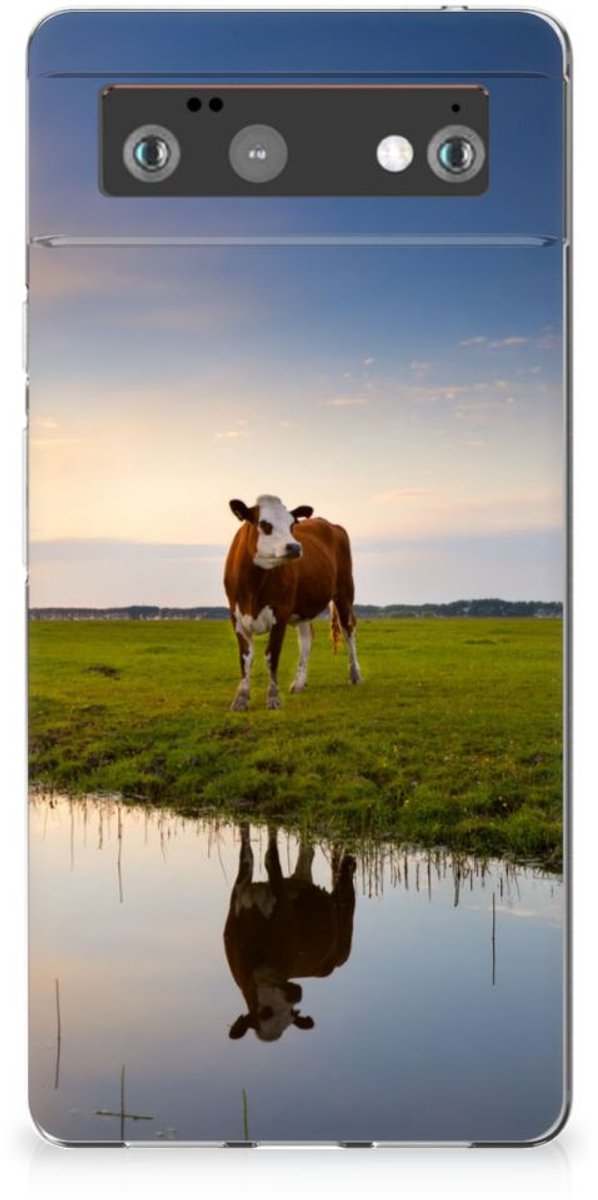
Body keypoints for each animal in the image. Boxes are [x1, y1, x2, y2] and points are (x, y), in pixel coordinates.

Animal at [223, 494, 362, 711]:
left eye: (291, 525)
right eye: (265, 524)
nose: (295, 547)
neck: (253, 586)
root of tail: (331, 524)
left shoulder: (280, 614)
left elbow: (272, 656)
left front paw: (273, 698)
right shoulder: (236, 617)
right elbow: (245, 658)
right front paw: (241, 699)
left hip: (345, 592)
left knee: (349, 630)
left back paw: (355, 674)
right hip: (303, 607)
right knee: (307, 638)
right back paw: (299, 683)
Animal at [224, 825, 356, 1042]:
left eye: (292, 1014)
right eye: (265, 1012)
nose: (296, 994)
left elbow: (270, 857)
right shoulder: (239, 891)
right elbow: (247, 853)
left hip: (344, 932)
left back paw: (349, 863)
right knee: (307, 854)